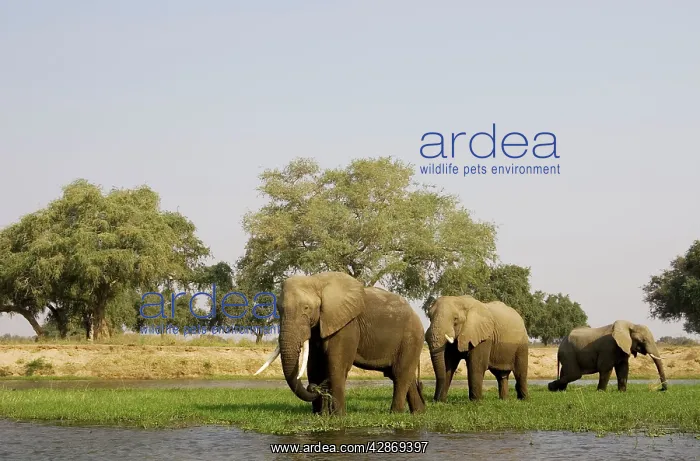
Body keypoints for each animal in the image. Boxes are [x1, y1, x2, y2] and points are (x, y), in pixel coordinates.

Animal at [253, 271, 426, 416]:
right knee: (405, 376)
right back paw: (418, 413)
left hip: (411, 338)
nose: (316, 387)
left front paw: (338, 417)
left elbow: (336, 364)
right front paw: (320, 415)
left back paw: (395, 414)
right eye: (279, 309)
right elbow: (314, 366)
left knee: (399, 375)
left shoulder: (346, 325)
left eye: (306, 308)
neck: (317, 281)